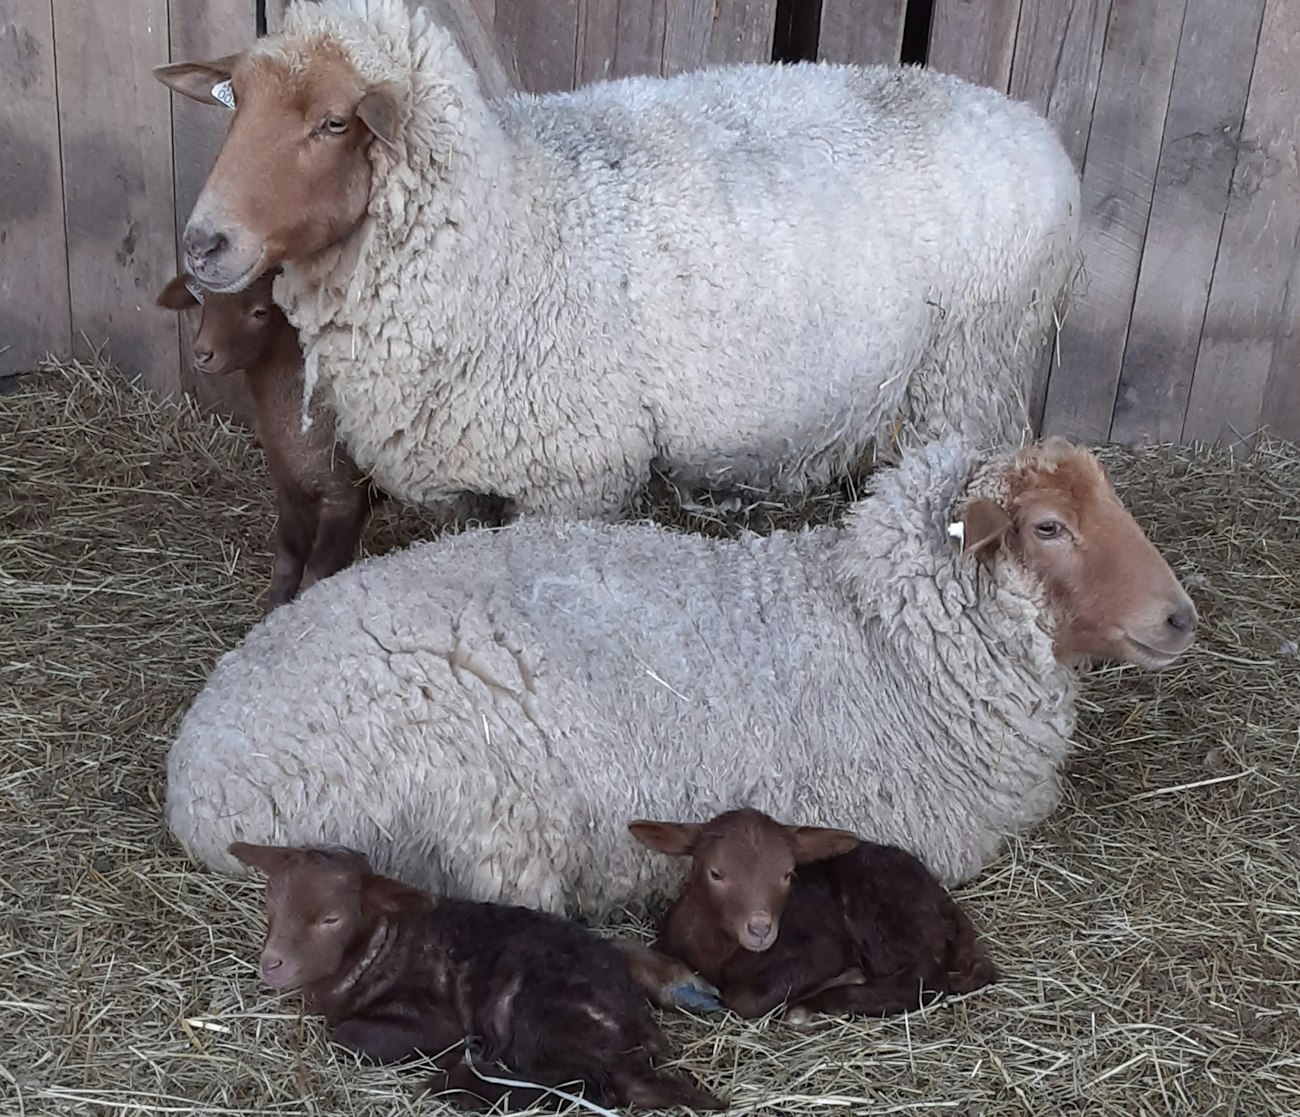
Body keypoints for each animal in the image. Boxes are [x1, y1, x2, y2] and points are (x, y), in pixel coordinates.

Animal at [154, 0, 1081, 522]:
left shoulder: (573, 473)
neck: (501, 228)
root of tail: (1033, 130)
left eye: (334, 123)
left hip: (972, 373)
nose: (203, 242)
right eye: (236, 103)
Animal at [155, 273, 374, 611]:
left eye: (260, 312)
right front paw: (274, 612)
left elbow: (315, 576)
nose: (202, 353)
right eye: (205, 300)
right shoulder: (289, 489)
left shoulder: (345, 498)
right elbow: (286, 564)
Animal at [228, 842, 724, 1111]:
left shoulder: (435, 1018)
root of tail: (640, 1040)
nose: (271, 964)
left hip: (532, 1008)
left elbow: (347, 1036)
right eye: (271, 904)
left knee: (584, 1083)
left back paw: (461, 1081)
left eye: (331, 918)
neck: (380, 945)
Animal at [629, 809, 996, 1023]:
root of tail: (941, 899)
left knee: (923, 978)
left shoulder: (822, 949)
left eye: (788, 874)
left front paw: (839, 979)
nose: (760, 929)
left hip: (885, 918)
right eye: (715, 873)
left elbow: (744, 1000)